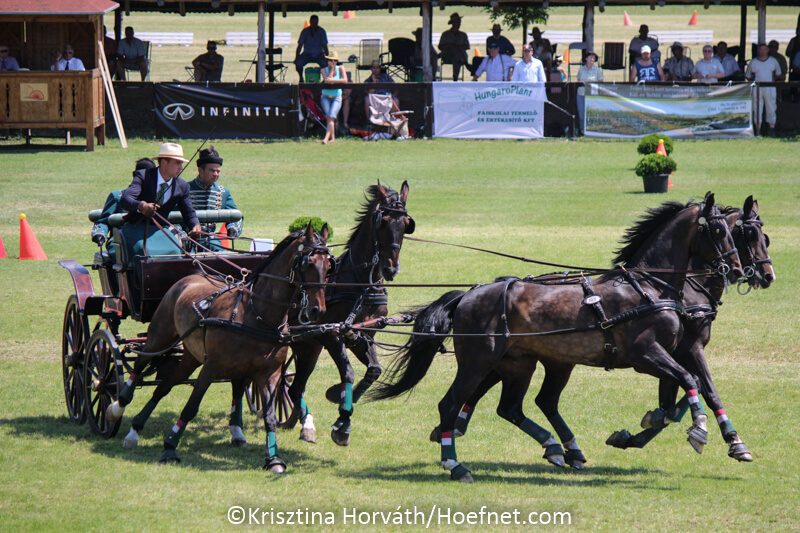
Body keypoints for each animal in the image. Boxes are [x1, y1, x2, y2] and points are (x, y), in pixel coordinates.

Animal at [106, 223, 331, 471]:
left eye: (329, 265)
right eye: (308, 263)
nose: (317, 310)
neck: (257, 314)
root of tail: (191, 276)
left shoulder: (269, 373)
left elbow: (270, 416)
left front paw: (273, 458)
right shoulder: (212, 366)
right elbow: (191, 407)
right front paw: (169, 447)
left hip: (191, 357)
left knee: (163, 387)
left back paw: (136, 428)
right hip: (160, 335)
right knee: (141, 363)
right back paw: (119, 407)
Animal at [228, 181, 414, 447]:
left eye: (406, 223)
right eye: (384, 221)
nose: (390, 268)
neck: (358, 284)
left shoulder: (362, 336)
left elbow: (374, 371)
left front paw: (340, 398)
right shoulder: (331, 336)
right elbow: (348, 372)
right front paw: (342, 419)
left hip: (308, 346)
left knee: (294, 387)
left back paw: (304, 423)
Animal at [369, 193, 744, 483]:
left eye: (735, 233)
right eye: (719, 230)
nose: (738, 269)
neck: (648, 286)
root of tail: (469, 295)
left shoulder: (673, 350)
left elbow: (687, 392)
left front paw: (729, 440)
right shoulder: (646, 355)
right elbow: (689, 381)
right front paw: (699, 429)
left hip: (521, 364)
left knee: (514, 406)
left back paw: (557, 448)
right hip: (479, 361)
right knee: (452, 403)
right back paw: (455, 463)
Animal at [606, 195, 774, 460]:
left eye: (765, 238)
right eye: (750, 235)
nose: (768, 275)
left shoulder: (676, 353)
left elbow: (679, 398)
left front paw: (734, 441)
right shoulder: (687, 349)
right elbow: (701, 390)